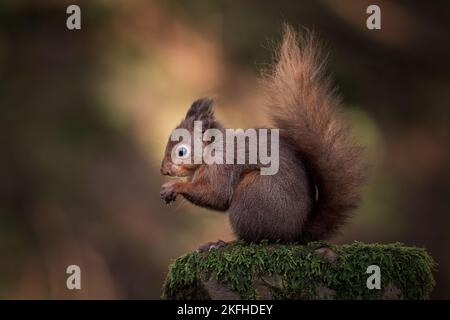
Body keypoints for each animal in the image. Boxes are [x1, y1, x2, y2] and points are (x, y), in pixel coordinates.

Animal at [160, 25, 364, 250]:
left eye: (181, 151)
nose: (164, 170)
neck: (213, 148)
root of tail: (295, 235)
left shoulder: (222, 165)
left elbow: (215, 194)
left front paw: (173, 187)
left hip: (254, 191)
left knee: (254, 238)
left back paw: (223, 243)